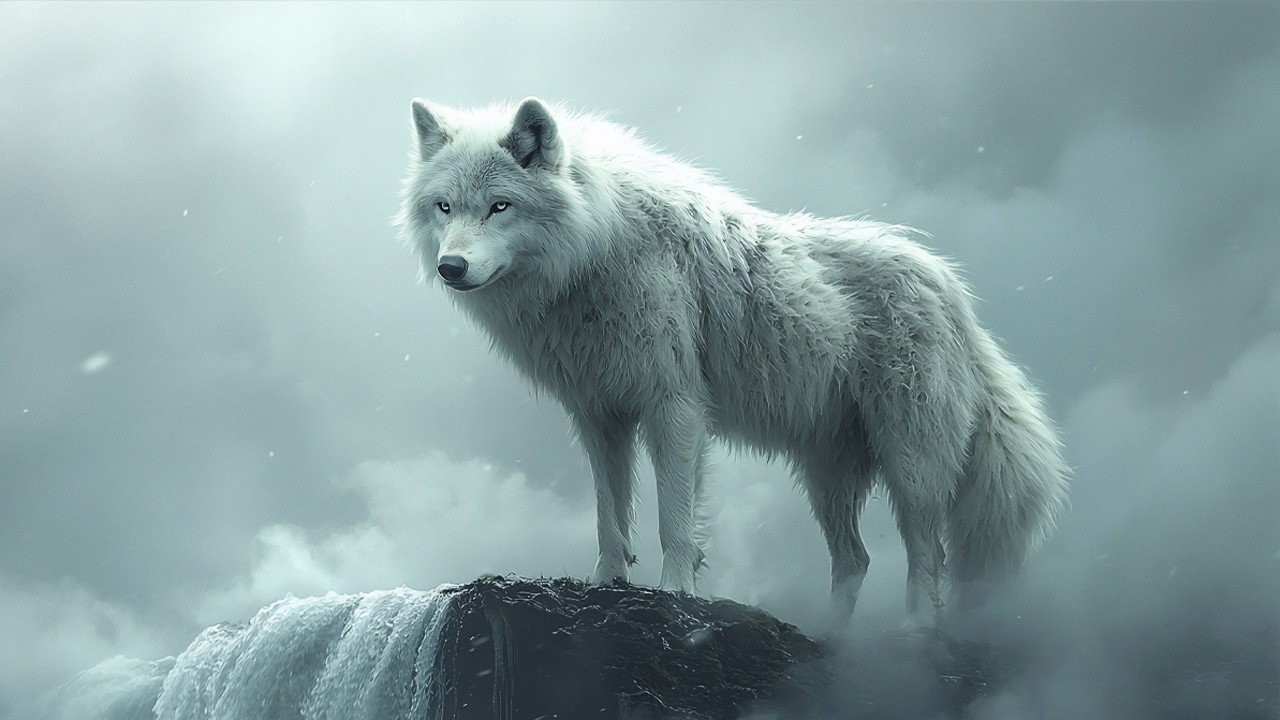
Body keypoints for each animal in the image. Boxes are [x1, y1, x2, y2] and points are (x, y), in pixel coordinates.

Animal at [396, 97, 1069, 629]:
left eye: (500, 206)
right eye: (445, 207)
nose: (450, 268)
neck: (594, 253)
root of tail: (956, 295)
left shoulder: (673, 405)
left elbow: (673, 522)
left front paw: (674, 593)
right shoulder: (598, 415)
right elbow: (610, 517)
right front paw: (604, 585)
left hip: (909, 463)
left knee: (928, 555)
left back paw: (912, 635)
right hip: (826, 475)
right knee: (854, 559)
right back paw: (835, 647)